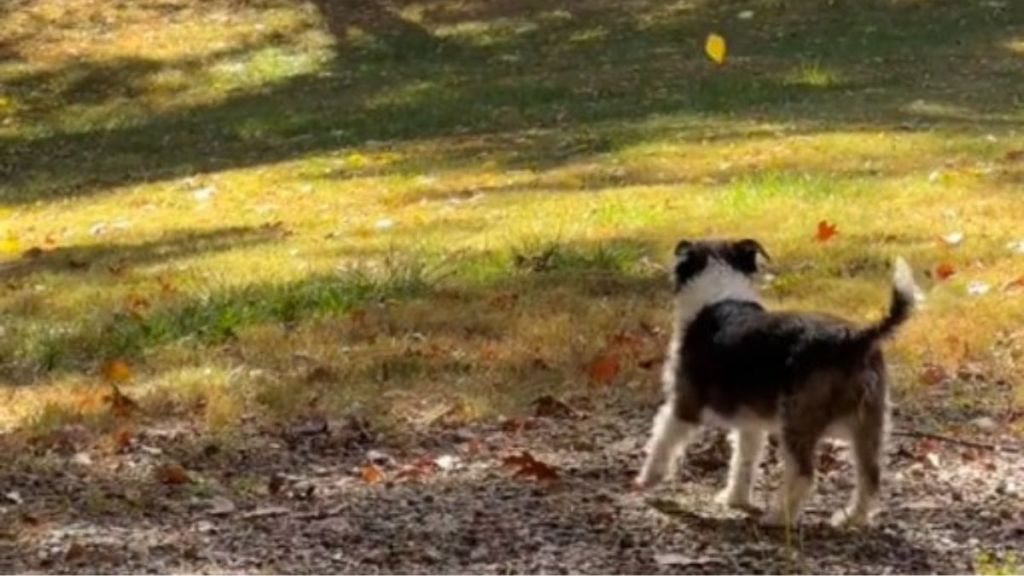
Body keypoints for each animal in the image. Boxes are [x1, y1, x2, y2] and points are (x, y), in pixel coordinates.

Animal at [630, 236, 921, 524]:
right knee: (870, 477)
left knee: (804, 475)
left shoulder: (684, 404)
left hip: (796, 420)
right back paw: (851, 518)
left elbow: (663, 441)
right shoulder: (750, 424)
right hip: (868, 425)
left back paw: (778, 517)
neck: (719, 290)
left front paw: (647, 480)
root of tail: (857, 339)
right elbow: (743, 461)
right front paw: (735, 498)